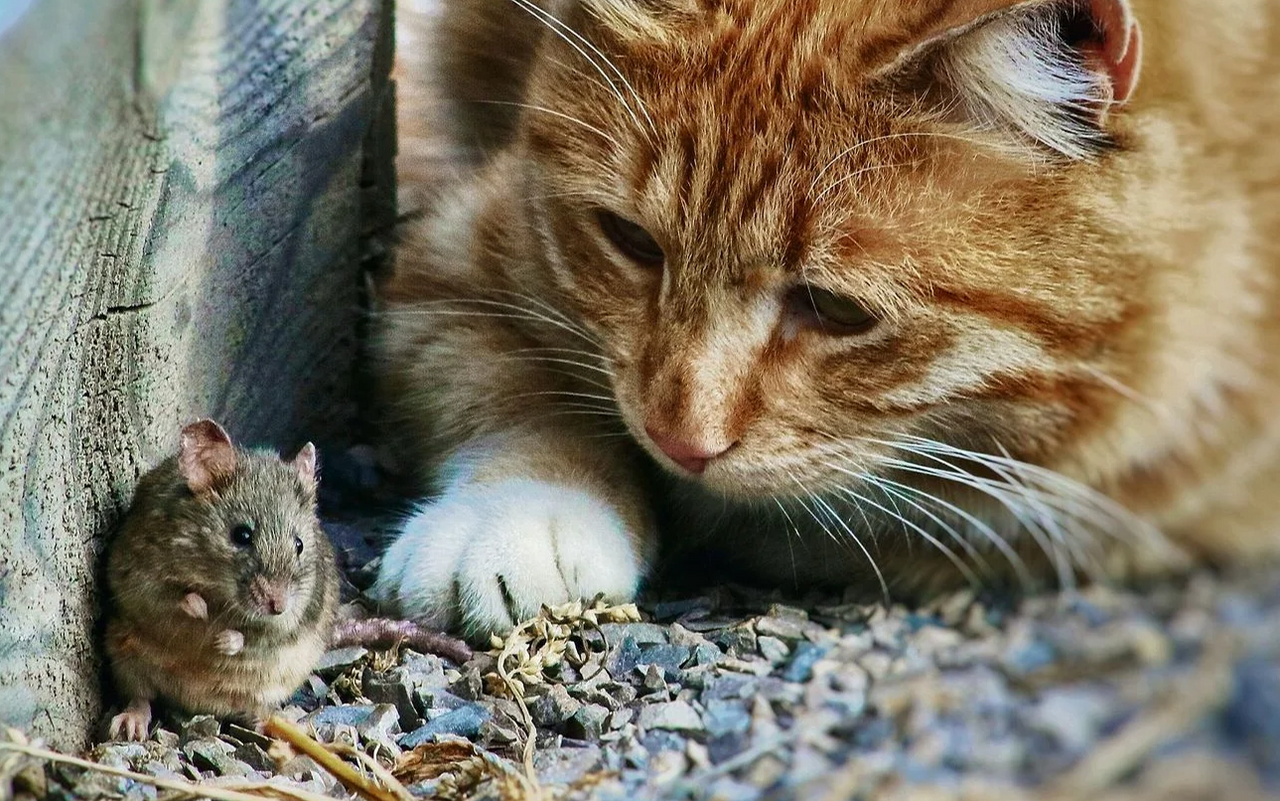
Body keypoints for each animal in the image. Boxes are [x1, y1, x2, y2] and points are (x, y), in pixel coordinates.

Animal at [371, 0, 1280, 637]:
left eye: (836, 308)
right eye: (629, 240)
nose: (678, 439)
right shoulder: (446, 260)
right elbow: (510, 388)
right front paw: (519, 512)